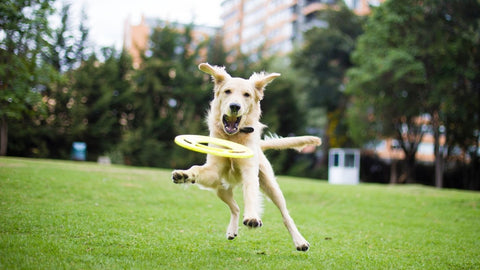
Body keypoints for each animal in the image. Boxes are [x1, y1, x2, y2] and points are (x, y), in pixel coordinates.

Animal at [171, 63, 320, 251]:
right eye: (227, 91)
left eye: (247, 95)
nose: (235, 106)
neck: (233, 138)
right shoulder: (213, 171)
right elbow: (197, 169)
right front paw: (184, 175)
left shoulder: (250, 172)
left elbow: (250, 193)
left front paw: (252, 218)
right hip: (220, 188)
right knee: (234, 208)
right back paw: (232, 230)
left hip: (271, 187)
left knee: (286, 215)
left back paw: (300, 241)